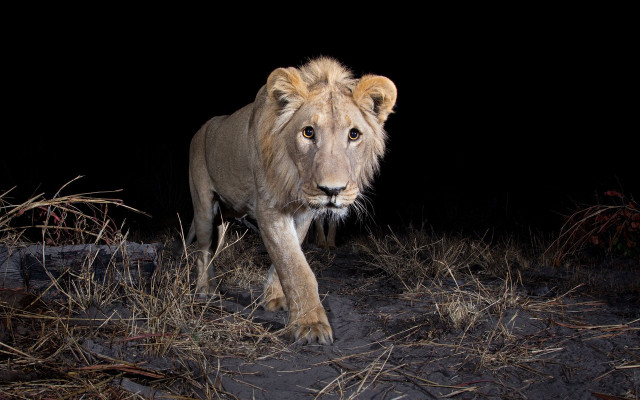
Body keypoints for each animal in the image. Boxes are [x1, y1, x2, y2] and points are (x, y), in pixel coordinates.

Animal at [185, 57, 396, 344]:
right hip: (204, 208)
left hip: (223, 220)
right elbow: (295, 266)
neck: (295, 178)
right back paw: (205, 289)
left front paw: (275, 298)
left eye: (354, 135)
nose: (332, 190)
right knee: (203, 251)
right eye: (308, 133)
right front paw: (311, 325)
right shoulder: (268, 207)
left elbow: (286, 258)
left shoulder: (304, 212)